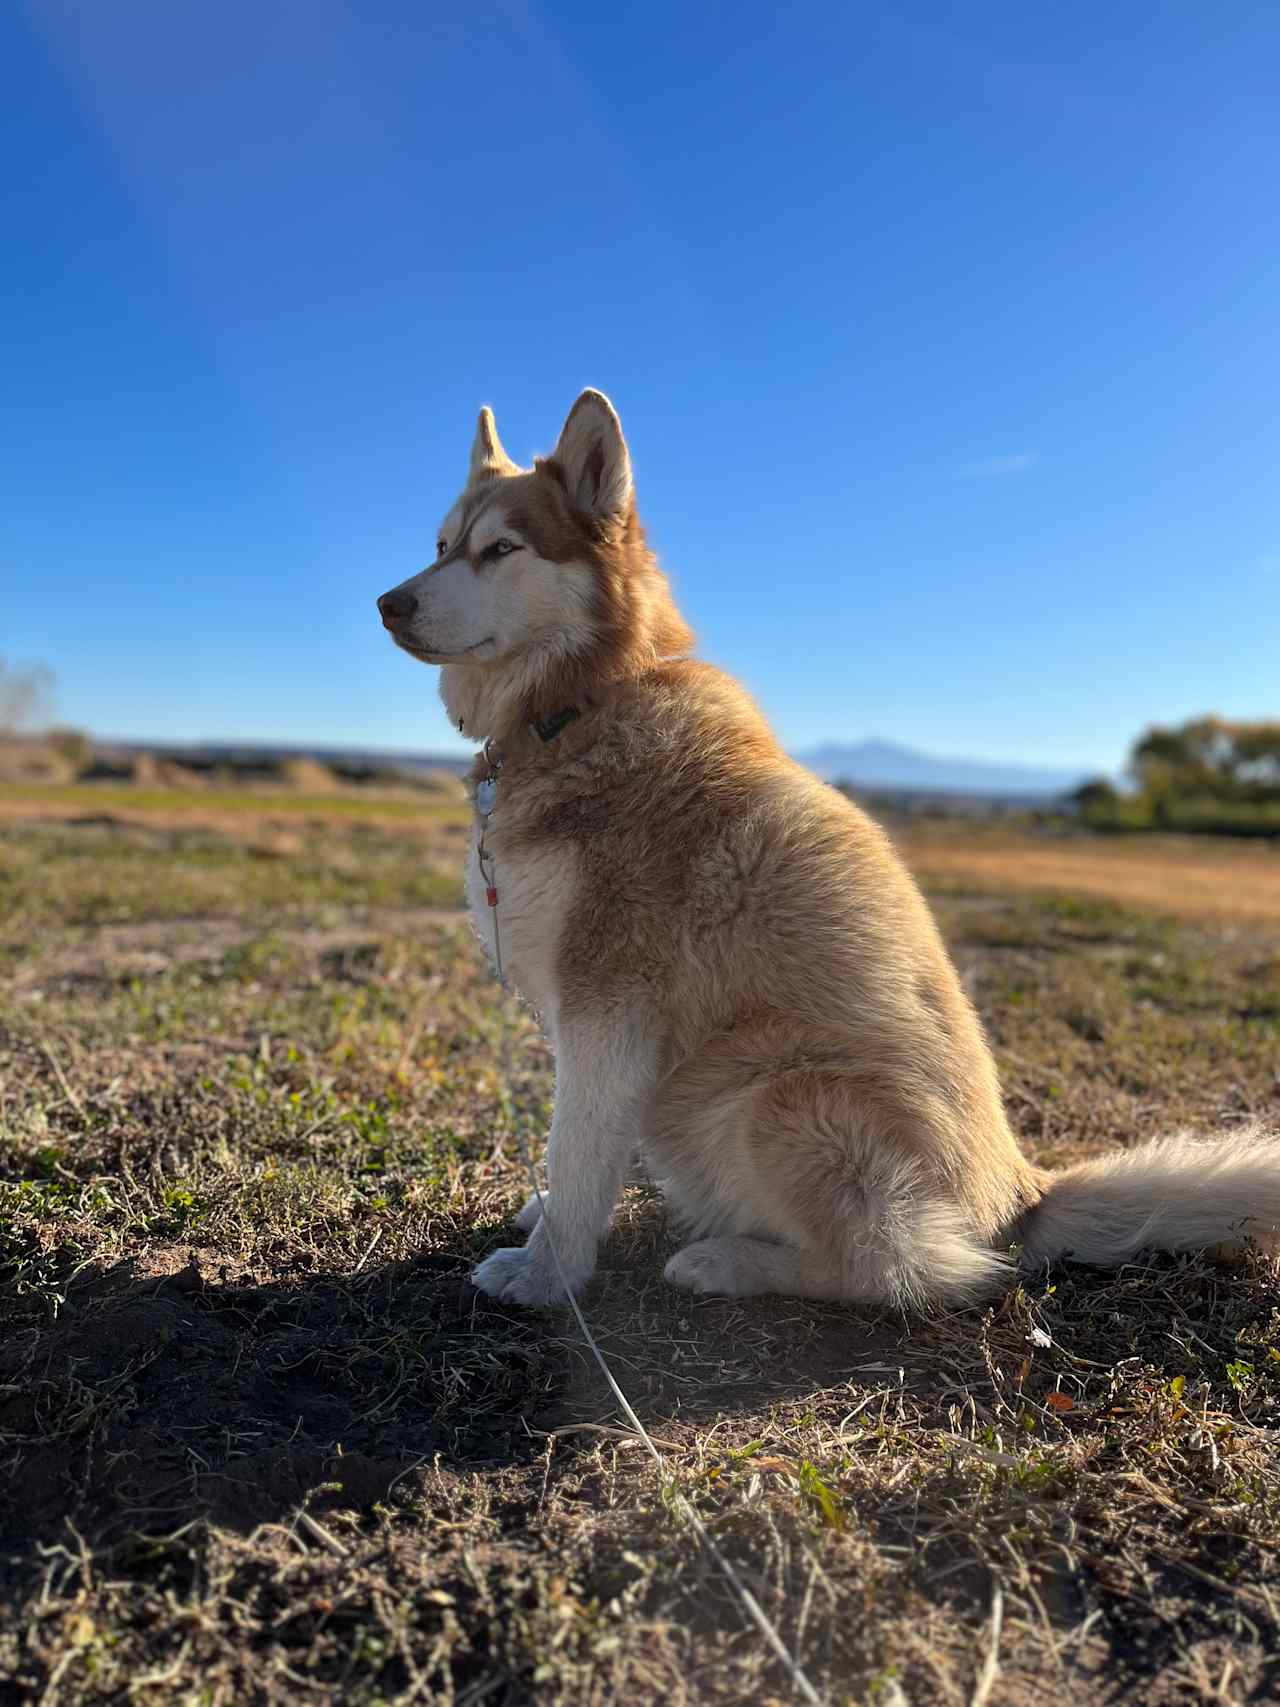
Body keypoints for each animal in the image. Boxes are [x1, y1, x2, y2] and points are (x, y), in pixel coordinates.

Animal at [378, 396, 1280, 1304]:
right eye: (442, 544)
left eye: (501, 549)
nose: (388, 603)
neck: (583, 702)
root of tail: (1023, 1195)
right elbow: (585, 1149)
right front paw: (548, 1220)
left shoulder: (609, 1004)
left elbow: (578, 1146)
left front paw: (548, 1272)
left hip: (769, 1094)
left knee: (901, 1266)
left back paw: (728, 1260)